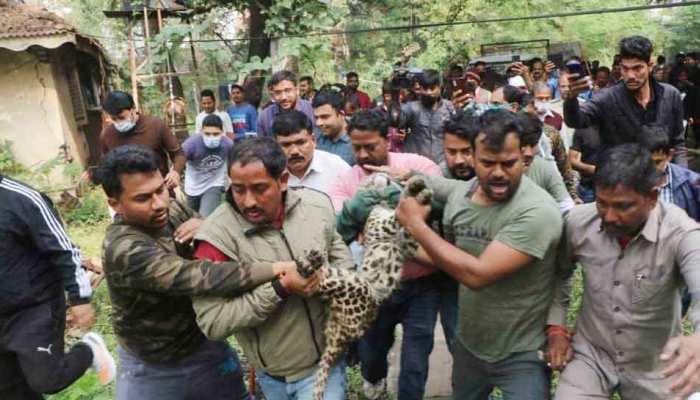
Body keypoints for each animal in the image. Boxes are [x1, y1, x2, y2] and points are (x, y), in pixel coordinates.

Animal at [294, 174, 433, 400]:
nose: (384, 175)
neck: (382, 202)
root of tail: (340, 335)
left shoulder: (409, 245)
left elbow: (410, 230)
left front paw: (421, 193)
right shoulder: (380, 226)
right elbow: (396, 216)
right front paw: (413, 192)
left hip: (342, 276)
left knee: (319, 278)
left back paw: (309, 261)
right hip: (355, 286)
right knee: (313, 283)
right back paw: (303, 266)